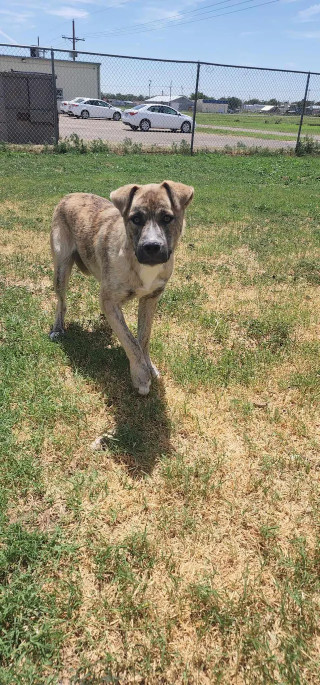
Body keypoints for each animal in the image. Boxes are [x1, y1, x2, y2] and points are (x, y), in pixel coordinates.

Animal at [50, 180, 194, 396]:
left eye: (167, 218)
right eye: (136, 218)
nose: (152, 247)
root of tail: (69, 195)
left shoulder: (150, 299)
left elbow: (143, 338)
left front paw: (149, 366)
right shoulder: (109, 301)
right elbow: (130, 341)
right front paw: (141, 376)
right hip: (61, 267)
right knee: (61, 302)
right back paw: (58, 328)